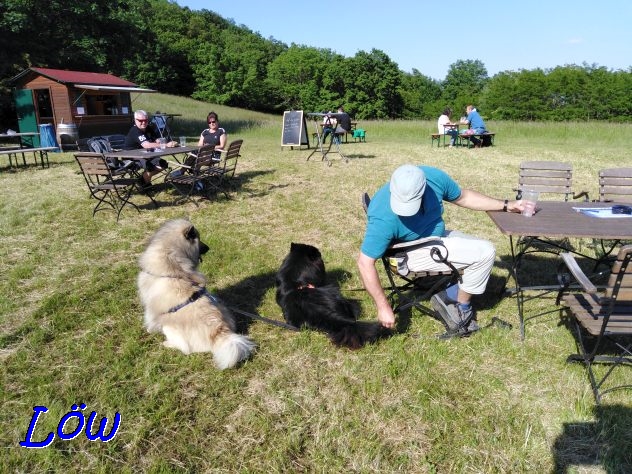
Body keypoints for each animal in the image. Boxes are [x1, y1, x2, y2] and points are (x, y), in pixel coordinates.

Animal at [138, 218, 254, 370]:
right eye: (199, 239)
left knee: (185, 349)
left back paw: (167, 344)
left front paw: (149, 330)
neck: (171, 258)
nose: (209, 248)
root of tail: (219, 331)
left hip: (170, 327)